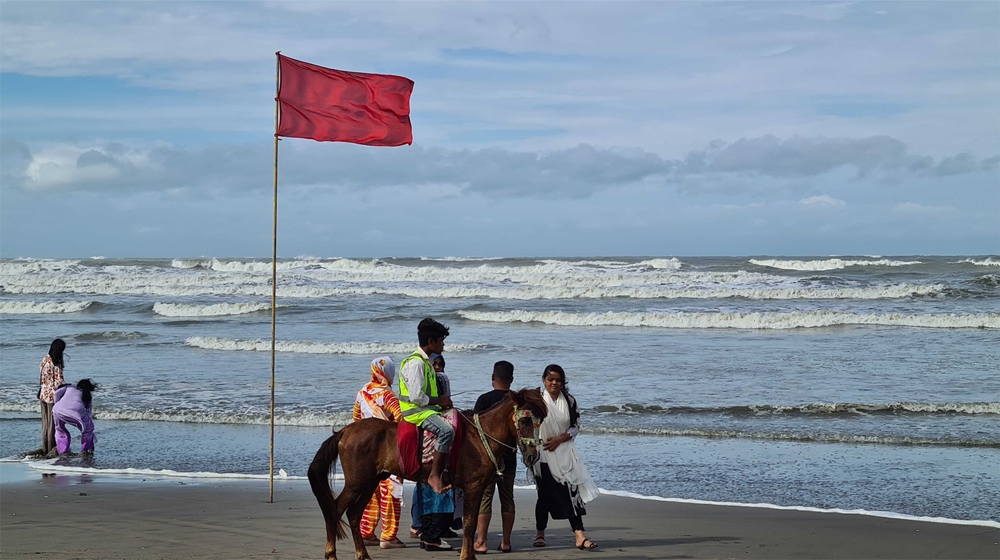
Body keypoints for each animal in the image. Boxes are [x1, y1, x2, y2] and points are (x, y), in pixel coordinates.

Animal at [310, 388, 552, 560]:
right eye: (524, 420)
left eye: (540, 421)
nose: (532, 456)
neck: (480, 436)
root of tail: (345, 431)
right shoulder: (473, 487)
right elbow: (469, 525)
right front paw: (467, 556)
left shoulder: (477, 487)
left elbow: (471, 524)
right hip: (356, 483)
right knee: (335, 511)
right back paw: (331, 554)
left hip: (370, 482)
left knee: (353, 514)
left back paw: (362, 555)